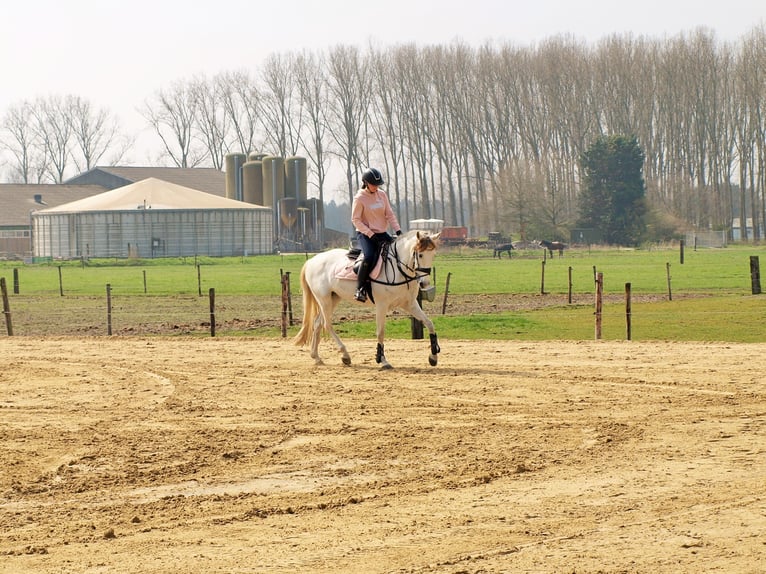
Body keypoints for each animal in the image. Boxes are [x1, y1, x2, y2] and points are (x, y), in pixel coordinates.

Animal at [296, 232, 444, 372]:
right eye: (420, 255)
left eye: (433, 255)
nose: (424, 283)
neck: (398, 269)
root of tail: (312, 261)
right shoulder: (381, 306)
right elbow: (380, 332)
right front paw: (382, 360)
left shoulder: (410, 304)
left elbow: (429, 324)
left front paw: (433, 357)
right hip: (324, 300)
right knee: (327, 324)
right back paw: (345, 355)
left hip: (333, 299)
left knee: (317, 323)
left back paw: (316, 357)